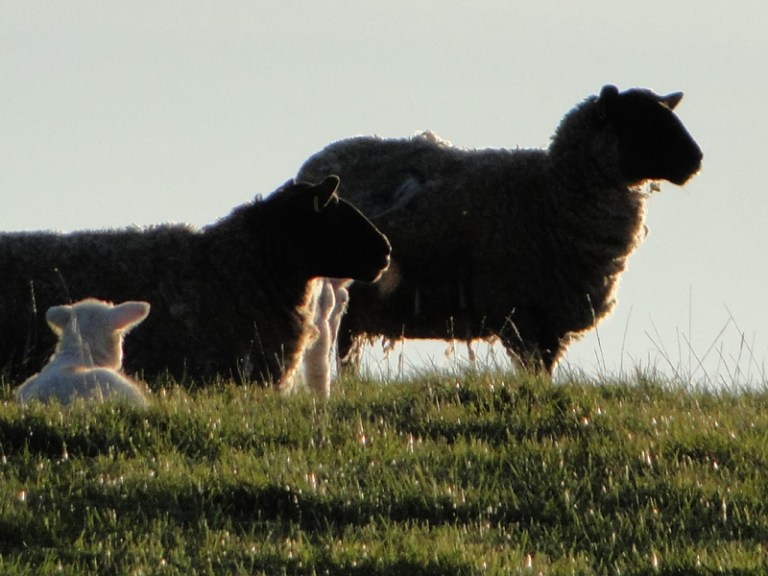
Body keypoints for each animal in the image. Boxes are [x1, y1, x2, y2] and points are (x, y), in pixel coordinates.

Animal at [297, 85, 703, 374]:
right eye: (639, 121)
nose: (695, 160)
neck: (549, 192)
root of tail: (314, 164)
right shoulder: (519, 315)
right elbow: (532, 372)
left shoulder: (550, 320)